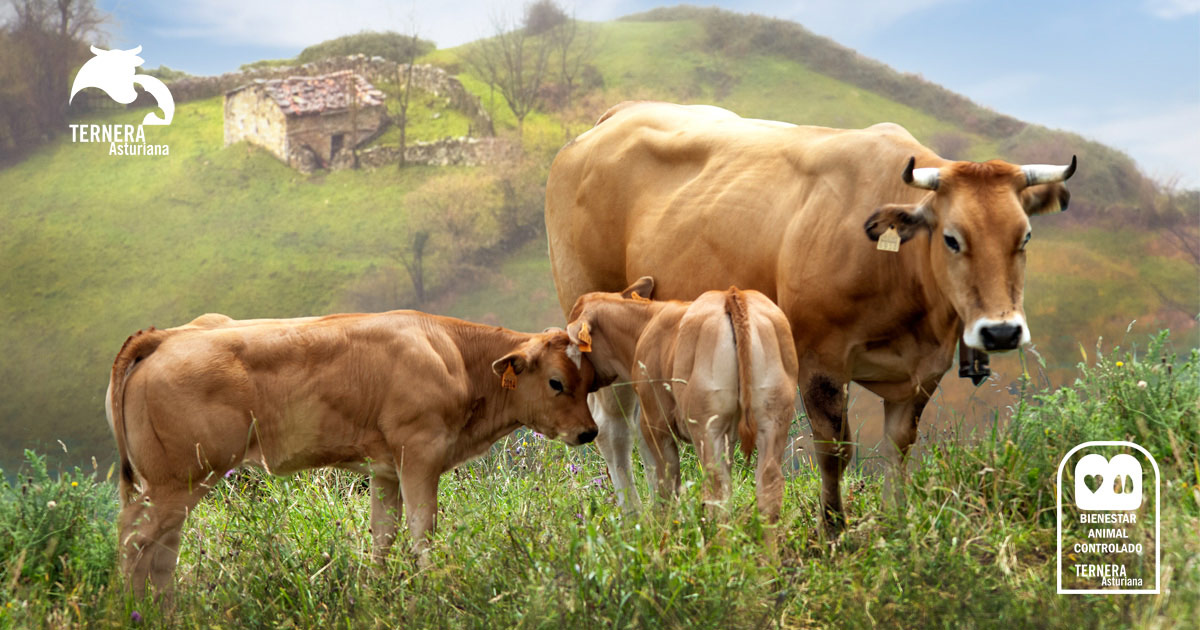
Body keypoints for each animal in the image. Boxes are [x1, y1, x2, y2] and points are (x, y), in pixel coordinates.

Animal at [100, 312, 597, 597]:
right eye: (556, 382)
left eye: (588, 378)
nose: (589, 432)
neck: (453, 354)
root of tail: (162, 336)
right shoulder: (419, 454)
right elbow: (423, 530)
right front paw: (436, 588)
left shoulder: (386, 469)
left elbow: (383, 533)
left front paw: (376, 591)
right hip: (178, 480)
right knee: (133, 537)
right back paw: (129, 609)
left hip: (175, 484)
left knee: (161, 551)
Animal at [564, 278, 796, 540]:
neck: (644, 325)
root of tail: (732, 295)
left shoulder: (654, 423)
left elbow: (666, 484)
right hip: (774, 418)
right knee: (768, 487)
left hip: (706, 426)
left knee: (717, 490)